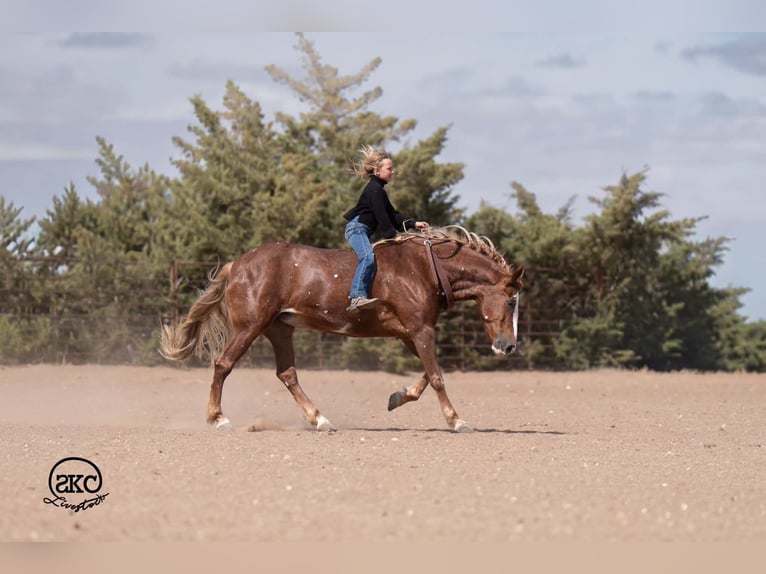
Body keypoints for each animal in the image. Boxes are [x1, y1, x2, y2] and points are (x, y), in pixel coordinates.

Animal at [159, 226, 525, 433]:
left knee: (287, 374)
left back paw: (319, 419)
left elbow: (426, 375)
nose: (508, 346)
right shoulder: (420, 330)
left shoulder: (409, 332)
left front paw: (397, 398)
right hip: (250, 327)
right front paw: (456, 420)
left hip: (279, 330)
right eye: (510, 301)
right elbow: (436, 376)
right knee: (223, 364)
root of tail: (237, 265)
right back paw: (218, 418)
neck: (425, 268)